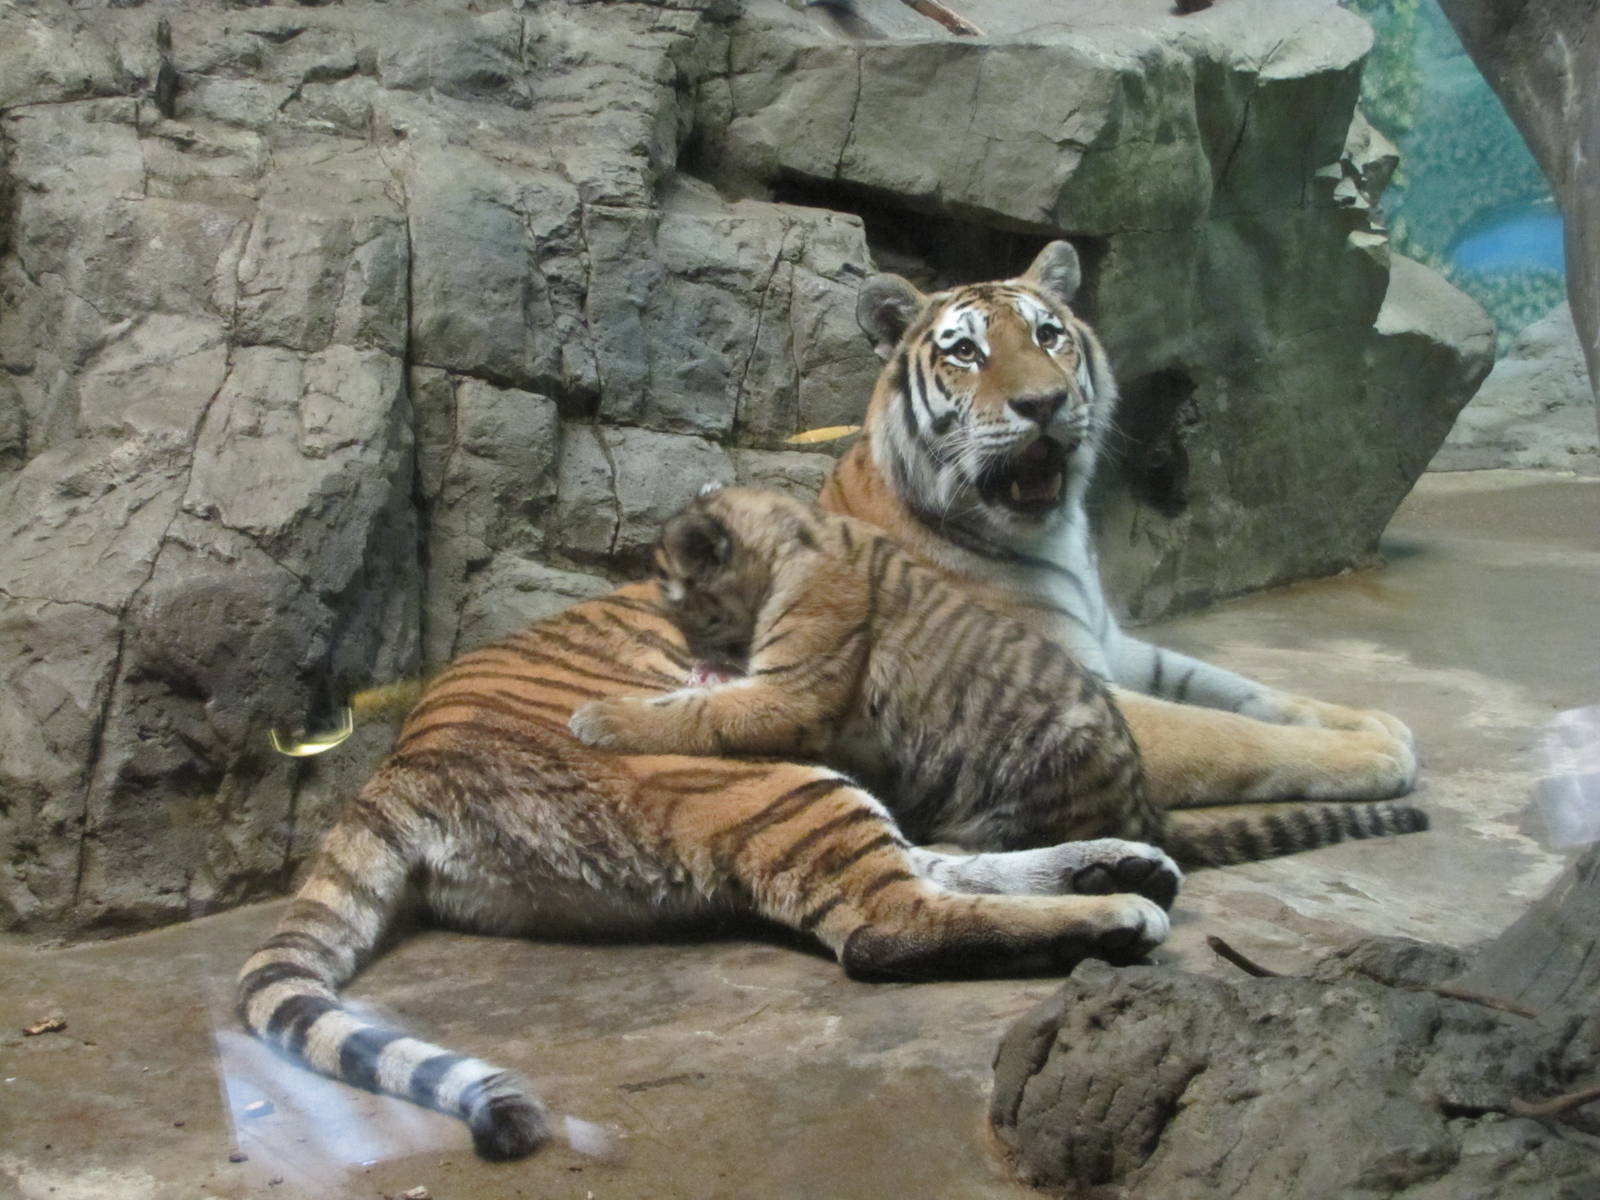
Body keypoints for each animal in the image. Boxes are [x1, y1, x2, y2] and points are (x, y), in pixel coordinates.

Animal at [569, 486, 1427, 867]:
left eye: (686, 610)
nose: (701, 657)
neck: (787, 538)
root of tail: (1141, 807)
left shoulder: (792, 688)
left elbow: (698, 716)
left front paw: (601, 717)